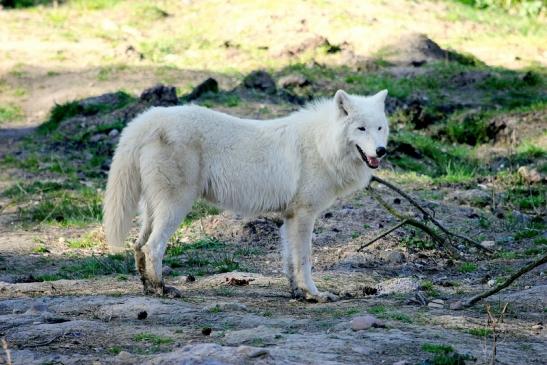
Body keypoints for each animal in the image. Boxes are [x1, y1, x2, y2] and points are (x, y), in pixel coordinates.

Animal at [104, 89, 390, 302]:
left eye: (379, 128)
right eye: (361, 129)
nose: (381, 150)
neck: (322, 145)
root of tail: (148, 118)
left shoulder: (289, 217)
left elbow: (290, 262)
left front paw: (298, 293)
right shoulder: (304, 215)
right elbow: (305, 260)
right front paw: (314, 294)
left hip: (153, 209)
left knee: (138, 245)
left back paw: (148, 288)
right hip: (177, 206)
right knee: (153, 247)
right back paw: (163, 289)